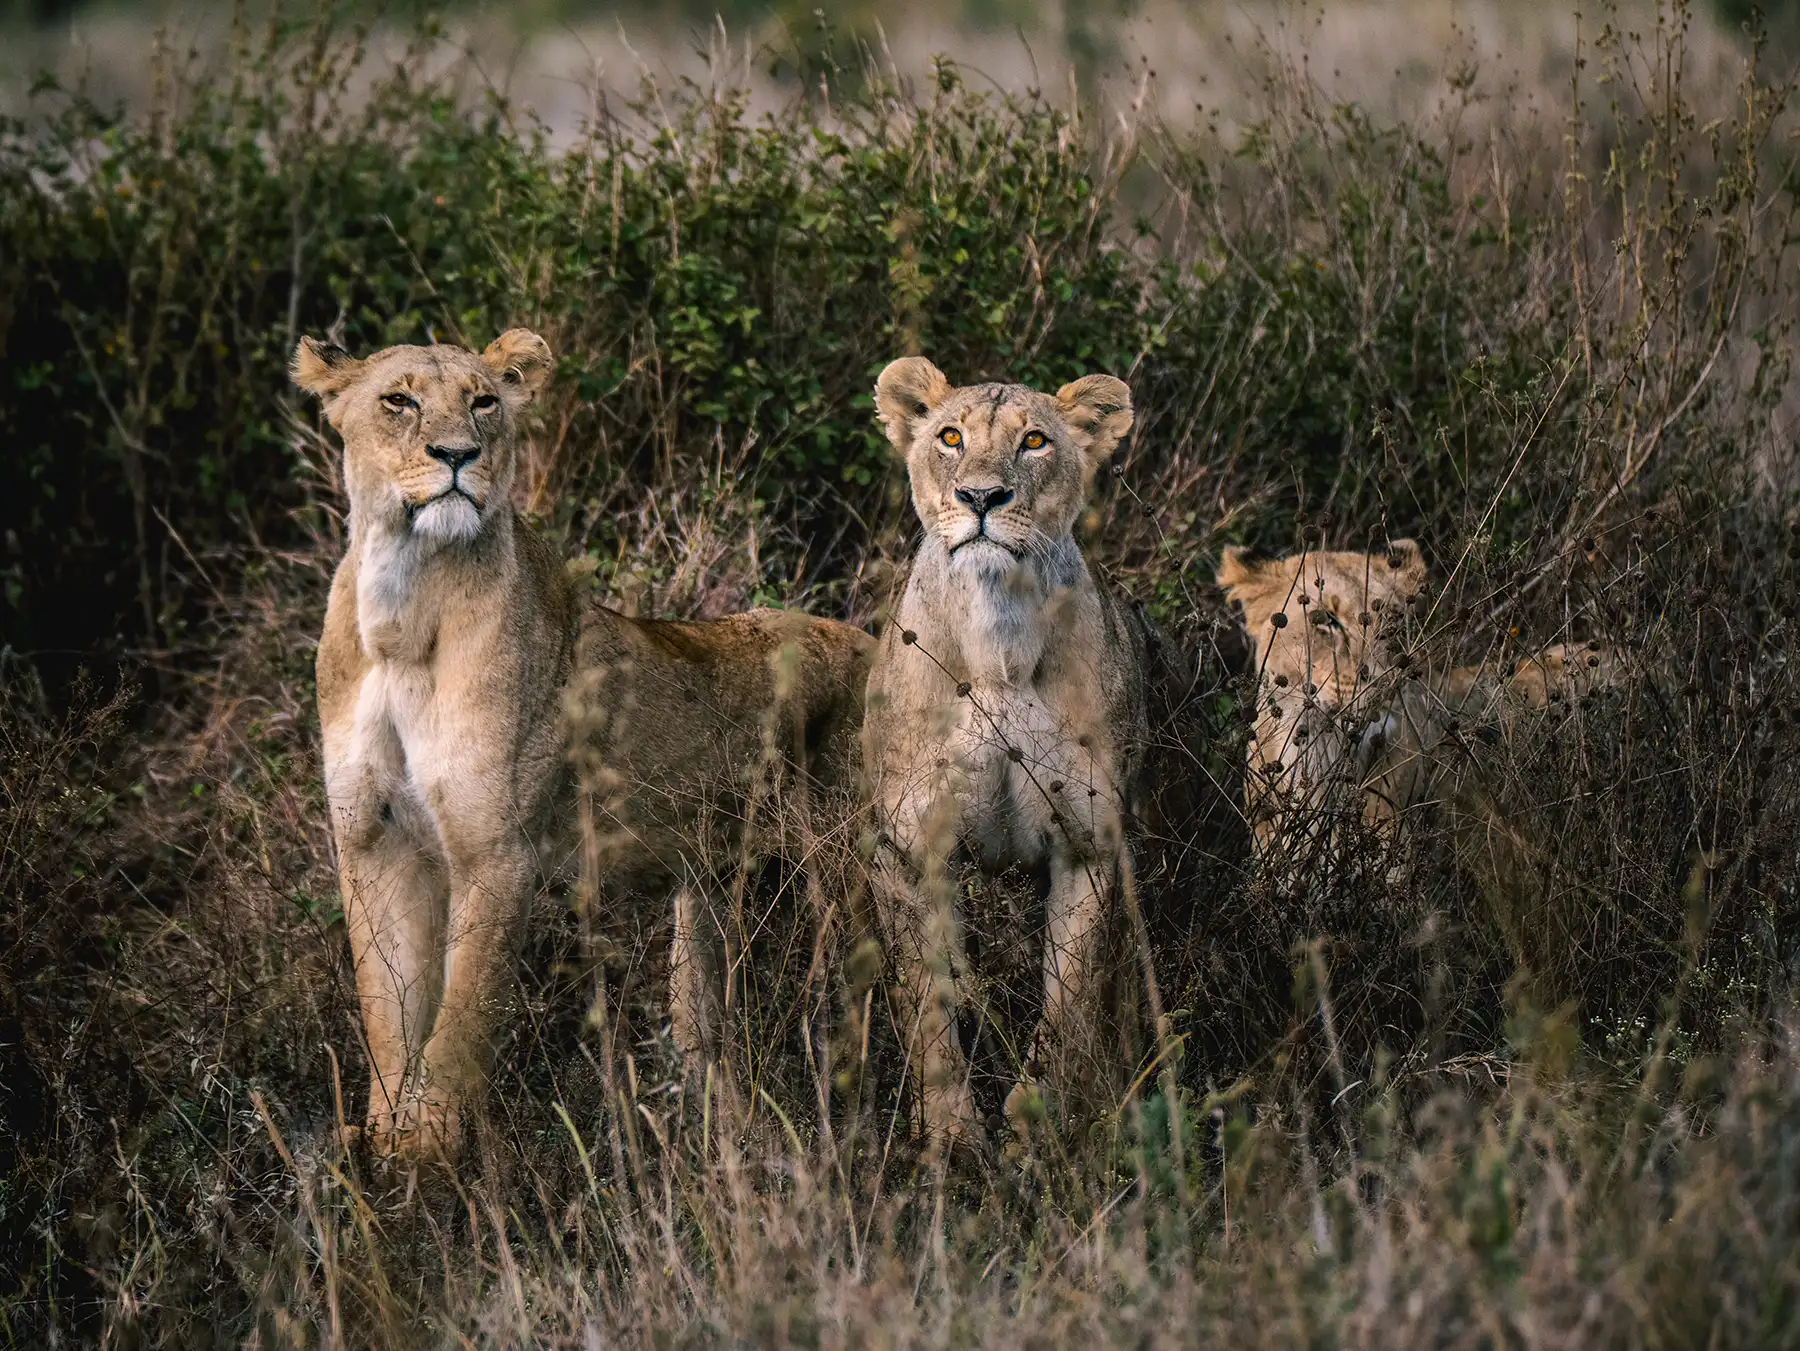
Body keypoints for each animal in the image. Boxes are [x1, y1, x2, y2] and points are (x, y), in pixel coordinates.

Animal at [295, 331, 871, 1165]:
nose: (459, 455)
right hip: (708, 892)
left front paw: (429, 1160)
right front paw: (380, 1141)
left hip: (858, 864)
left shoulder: (496, 850)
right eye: (397, 400)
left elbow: (460, 1021)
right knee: (708, 1029)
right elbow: (387, 1015)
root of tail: (879, 640)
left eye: (484, 402)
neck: (402, 601)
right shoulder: (375, 840)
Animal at [860, 354, 1144, 1144]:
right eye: (951, 437)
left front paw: (1035, 1127)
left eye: (1035, 441)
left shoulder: (1088, 842)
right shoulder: (906, 848)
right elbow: (925, 999)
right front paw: (951, 1135)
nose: (982, 496)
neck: (999, 639)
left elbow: (1068, 1001)